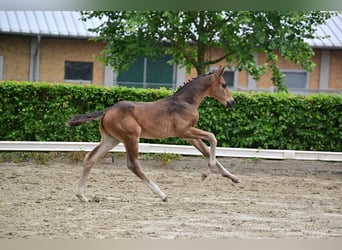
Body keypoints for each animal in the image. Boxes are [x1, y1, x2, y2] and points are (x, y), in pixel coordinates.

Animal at [67, 66, 240, 201]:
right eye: (224, 84)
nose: (231, 102)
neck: (185, 102)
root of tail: (108, 110)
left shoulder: (190, 136)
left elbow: (206, 151)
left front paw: (233, 177)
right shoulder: (184, 131)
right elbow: (212, 137)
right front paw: (206, 173)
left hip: (111, 139)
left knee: (90, 158)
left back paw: (81, 195)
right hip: (131, 137)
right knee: (133, 164)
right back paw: (161, 194)